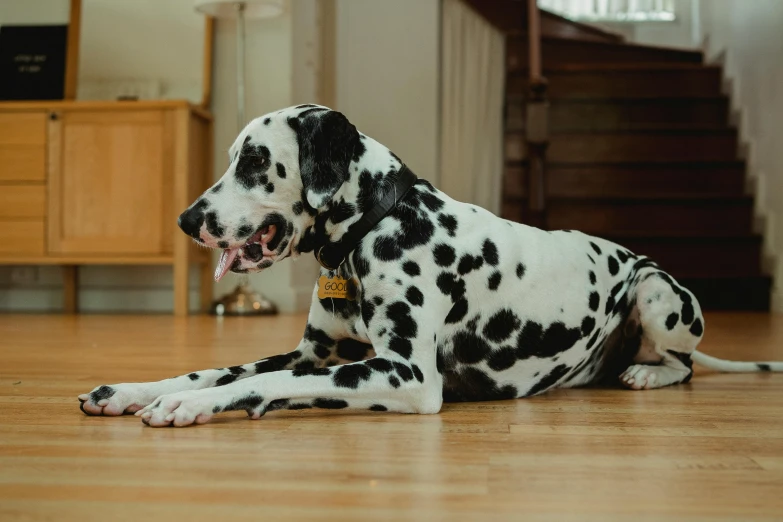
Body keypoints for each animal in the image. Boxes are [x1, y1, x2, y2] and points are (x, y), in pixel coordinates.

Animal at [76, 103, 780, 424]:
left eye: (253, 160)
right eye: (231, 157)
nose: (185, 220)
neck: (374, 229)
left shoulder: (407, 376)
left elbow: (258, 384)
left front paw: (187, 405)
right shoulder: (313, 355)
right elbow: (218, 368)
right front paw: (136, 389)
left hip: (656, 291)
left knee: (683, 365)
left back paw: (647, 372)